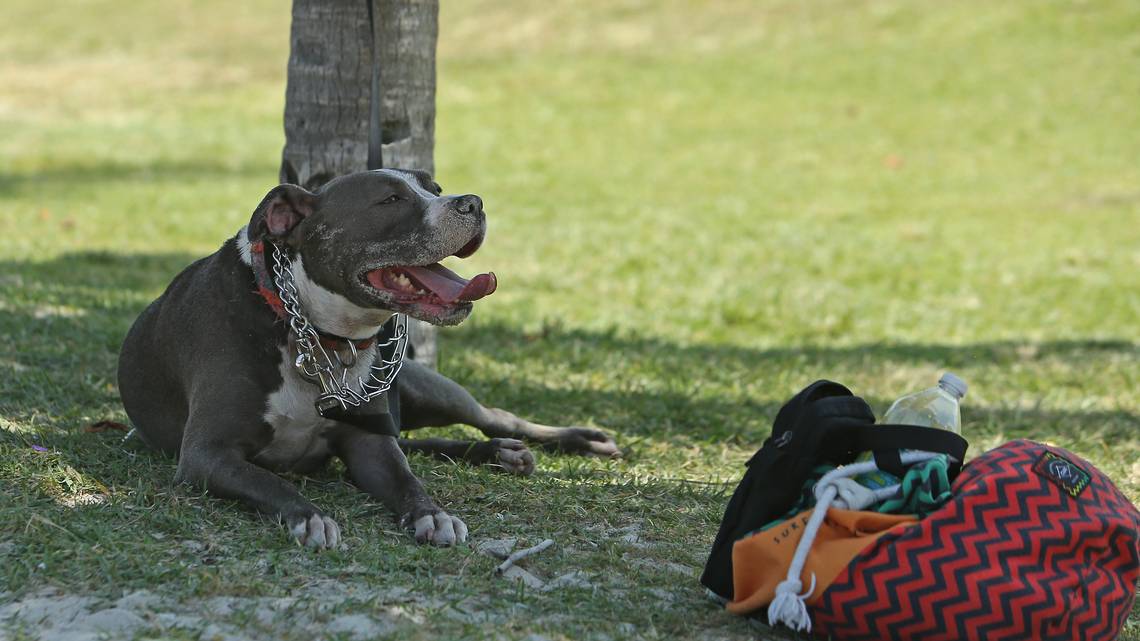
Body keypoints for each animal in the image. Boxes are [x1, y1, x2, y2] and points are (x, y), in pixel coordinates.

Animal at [119, 171, 620, 549]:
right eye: (390, 199)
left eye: (435, 188)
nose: (473, 203)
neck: (313, 334)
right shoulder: (207, 454)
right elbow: (271, 482)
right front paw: (308, 517)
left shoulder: (369, 443)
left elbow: (407, 481)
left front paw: (433, 515)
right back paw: (499, 453)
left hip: (426, 388)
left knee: (493, 417)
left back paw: (575, 440)